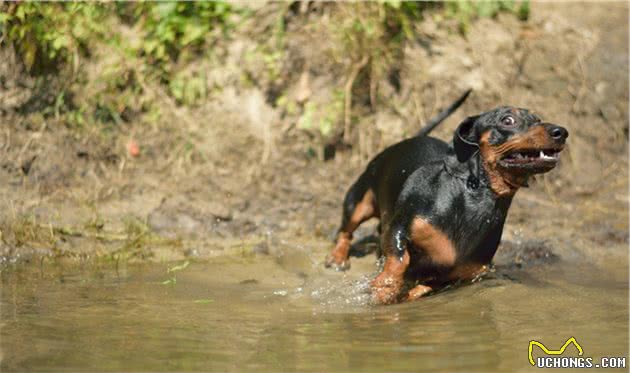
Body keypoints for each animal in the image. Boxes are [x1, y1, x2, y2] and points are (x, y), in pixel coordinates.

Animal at [328, 94, 572, 304]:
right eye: (508, 120)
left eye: (538, 119)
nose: (561, 132)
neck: (474, 196)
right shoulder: (400, 226)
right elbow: (398, 260)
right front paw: (386, 285)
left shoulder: (461, 275)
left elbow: (424, 287)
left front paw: (405, 293)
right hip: (359, 202)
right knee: (345, 231)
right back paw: (338, 258)